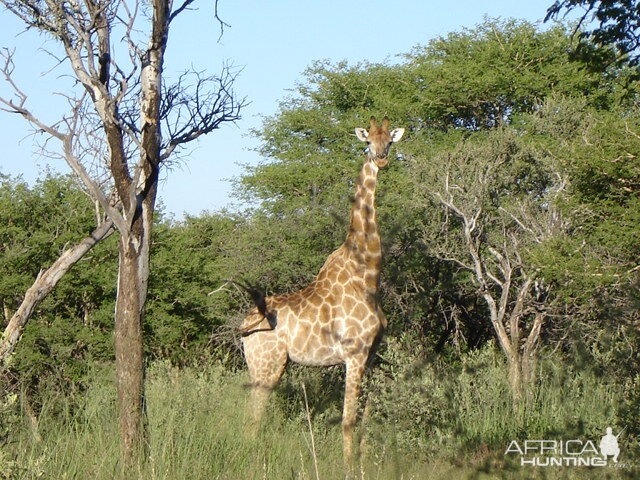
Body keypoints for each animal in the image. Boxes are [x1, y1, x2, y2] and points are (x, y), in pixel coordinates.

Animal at [240, 115, 404, 464]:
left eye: (390, 141)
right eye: (367, 141)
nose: (381, 159)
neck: (368, 274)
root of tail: (244, 327)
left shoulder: (371, 355)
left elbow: (365, 415)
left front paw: (362, 460)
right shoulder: (354, 354)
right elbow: (348, 419)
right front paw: (347, 465)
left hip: (266, 365)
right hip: (267, 365)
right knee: (253, 413)